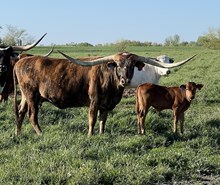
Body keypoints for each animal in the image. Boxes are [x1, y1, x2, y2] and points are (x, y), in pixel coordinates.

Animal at [13, 51, 195, 137]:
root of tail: (21, 61)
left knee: (20, 112)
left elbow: (103, 120)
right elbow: (92, 119)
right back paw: (40, 133)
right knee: (31, 115)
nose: (125, 80)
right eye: (117, 65)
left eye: (131, 65)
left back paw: (18, 134)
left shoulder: (106, 104)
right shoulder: (94, 101)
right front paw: (90, 135)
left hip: (25, 96)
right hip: (32, 96)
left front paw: (101, 133)